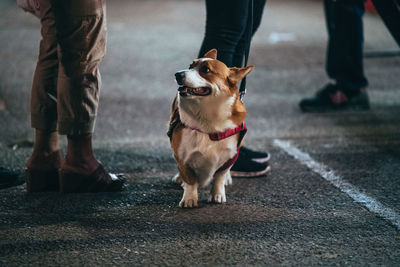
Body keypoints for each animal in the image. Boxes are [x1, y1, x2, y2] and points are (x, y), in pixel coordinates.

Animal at [168, 49, 253, 208]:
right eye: (190, 66)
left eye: (206, 70)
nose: (177, 74)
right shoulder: (182, 157)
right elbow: (190, 179)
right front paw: (189, 198)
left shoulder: (231, 155)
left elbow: (219, 176)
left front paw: (217, 194)